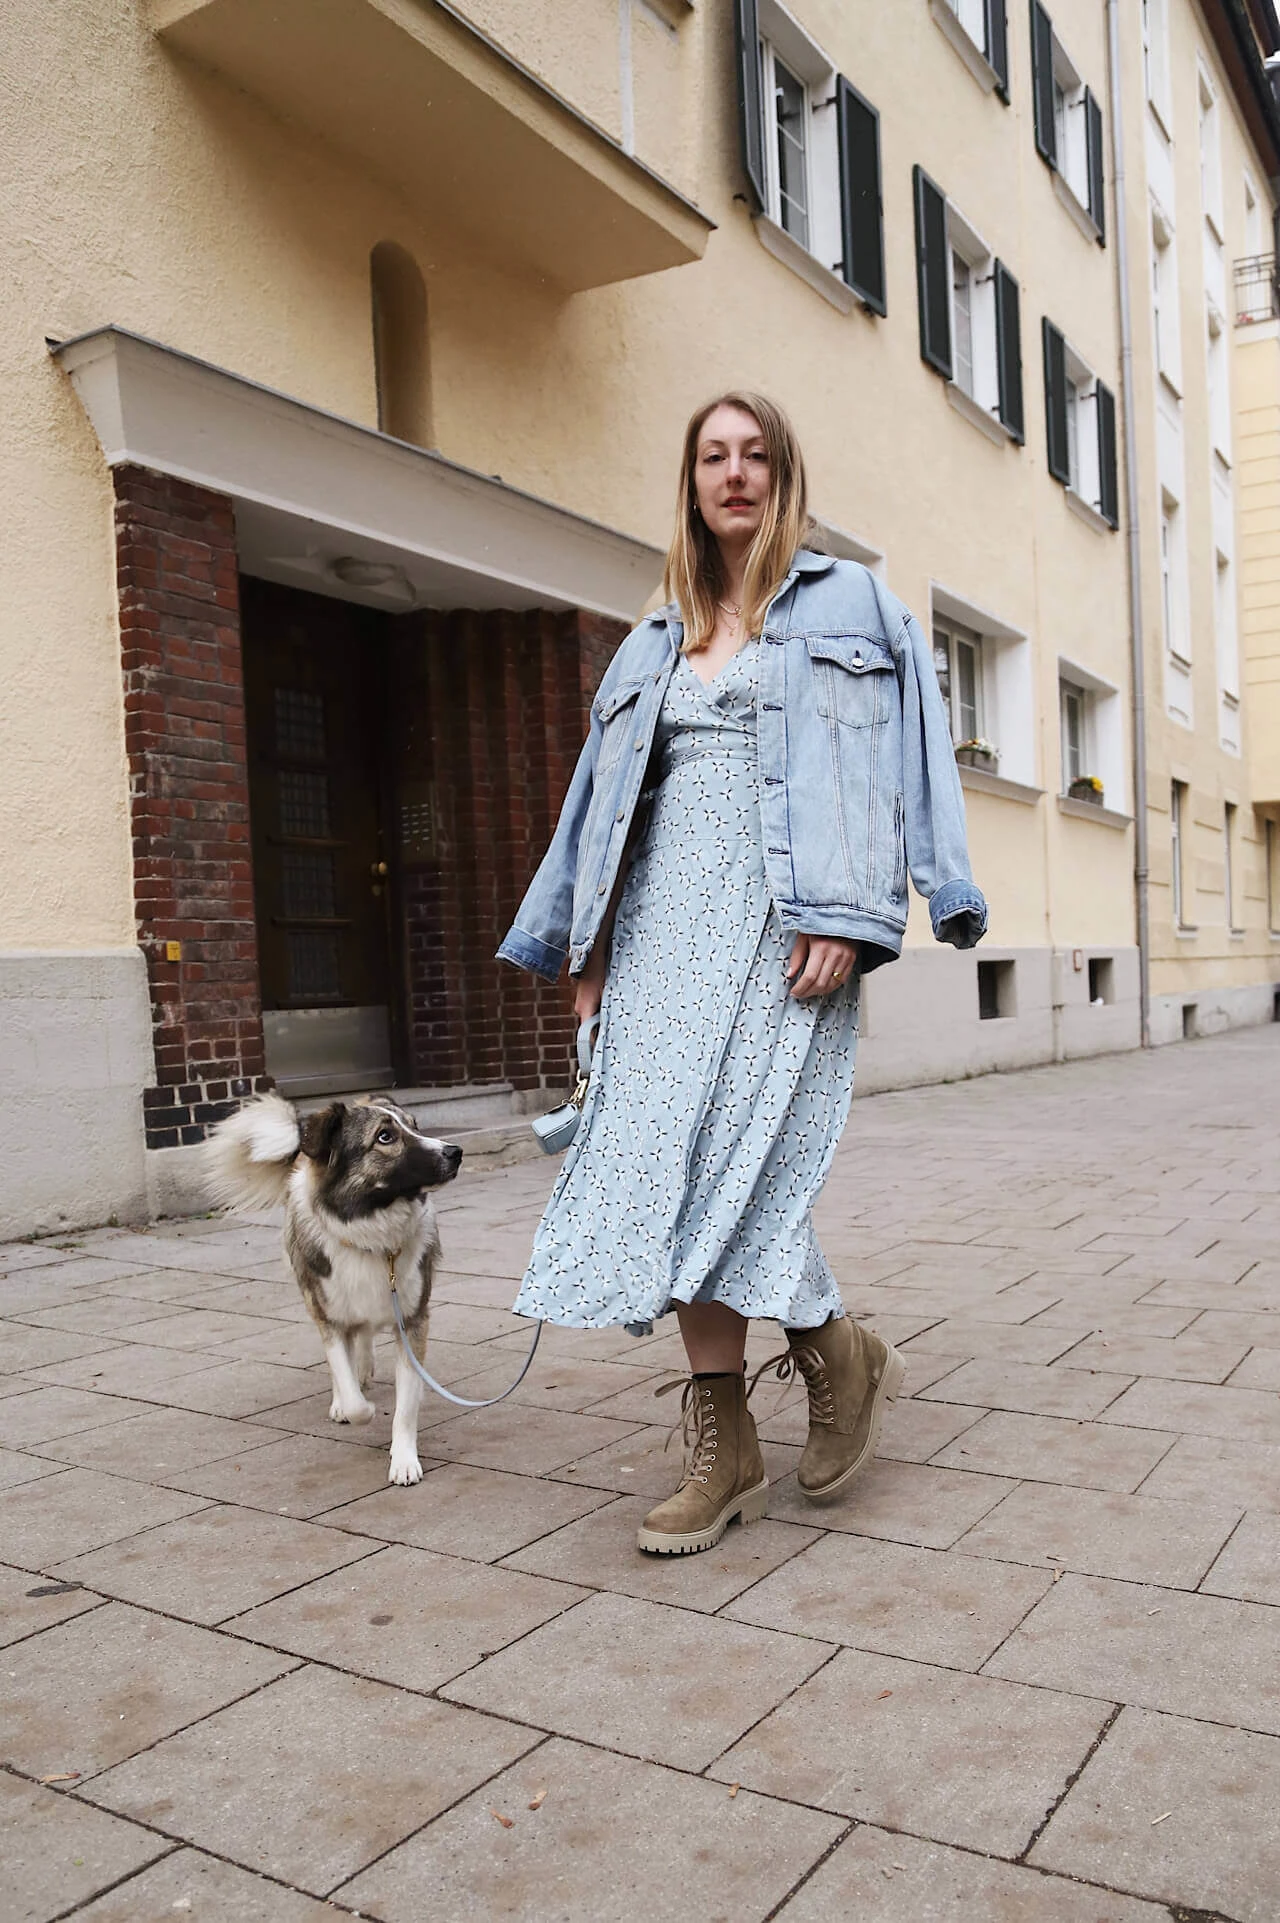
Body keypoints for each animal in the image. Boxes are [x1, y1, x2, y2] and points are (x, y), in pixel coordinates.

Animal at [199, 1099, 459, 1484]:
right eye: (385, 1136)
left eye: (415, 1125)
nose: (455, 1152)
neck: (372, 1235)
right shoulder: (329, 1314)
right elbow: (351, 1394)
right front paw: (357, 1408)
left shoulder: (413, 1319)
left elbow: (406, 1404)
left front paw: (404, 1460)